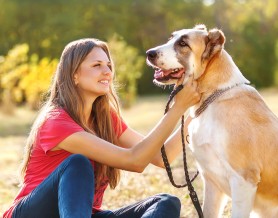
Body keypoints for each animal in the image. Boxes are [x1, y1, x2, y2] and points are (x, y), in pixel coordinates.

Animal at [146, 24, 278, 218]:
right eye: (171, 38)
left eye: (183, 43)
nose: (149, 53)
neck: (214, 97)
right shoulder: (211, 182)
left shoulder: (243, 181)